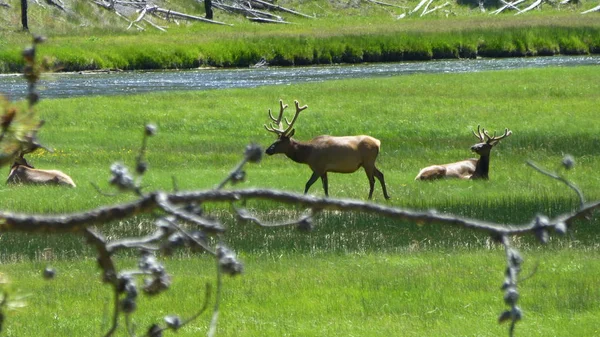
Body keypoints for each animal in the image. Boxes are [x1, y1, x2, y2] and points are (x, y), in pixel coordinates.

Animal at [264, 99, 392, 200]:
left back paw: (369, 198)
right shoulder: (324, 170)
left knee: (372, 180)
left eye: (280, 142)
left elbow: (308, 184)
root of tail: (378, 142)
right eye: (276, 139)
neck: (307, 155)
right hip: (368, 162)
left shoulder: (318, 167)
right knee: (380, 174)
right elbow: (325, 187)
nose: (267, 150)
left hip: (368, 161)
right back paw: (387, 196)